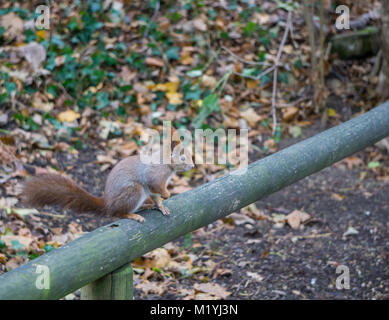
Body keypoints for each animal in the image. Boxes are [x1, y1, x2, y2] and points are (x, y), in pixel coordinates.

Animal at [21, 136, 194, 221]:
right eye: (183, 158)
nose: (192, 166)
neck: (167, 166)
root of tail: (108, 204)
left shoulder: (154, 186)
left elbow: (156, 196)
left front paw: (161, 206)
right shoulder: (155, 175)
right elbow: (156, 186)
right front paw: (167, 194)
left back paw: (145, 206)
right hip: (134, 191)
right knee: (117, 214)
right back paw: (132, 215)